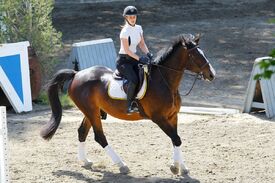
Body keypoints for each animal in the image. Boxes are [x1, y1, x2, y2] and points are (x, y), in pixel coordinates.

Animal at [40, 33, 217, 175]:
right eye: (195, 55)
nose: (212, 75)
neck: (165, 82)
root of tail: (76, 74)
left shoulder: (173, 116)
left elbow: (176, 140)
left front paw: (182, 167)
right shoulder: (159, 118)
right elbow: (176, 138)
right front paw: (175, 167)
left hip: (91, 111)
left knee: (82, 132)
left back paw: (86, 161)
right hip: (91, 111)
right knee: (100, 137)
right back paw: (122, 165)